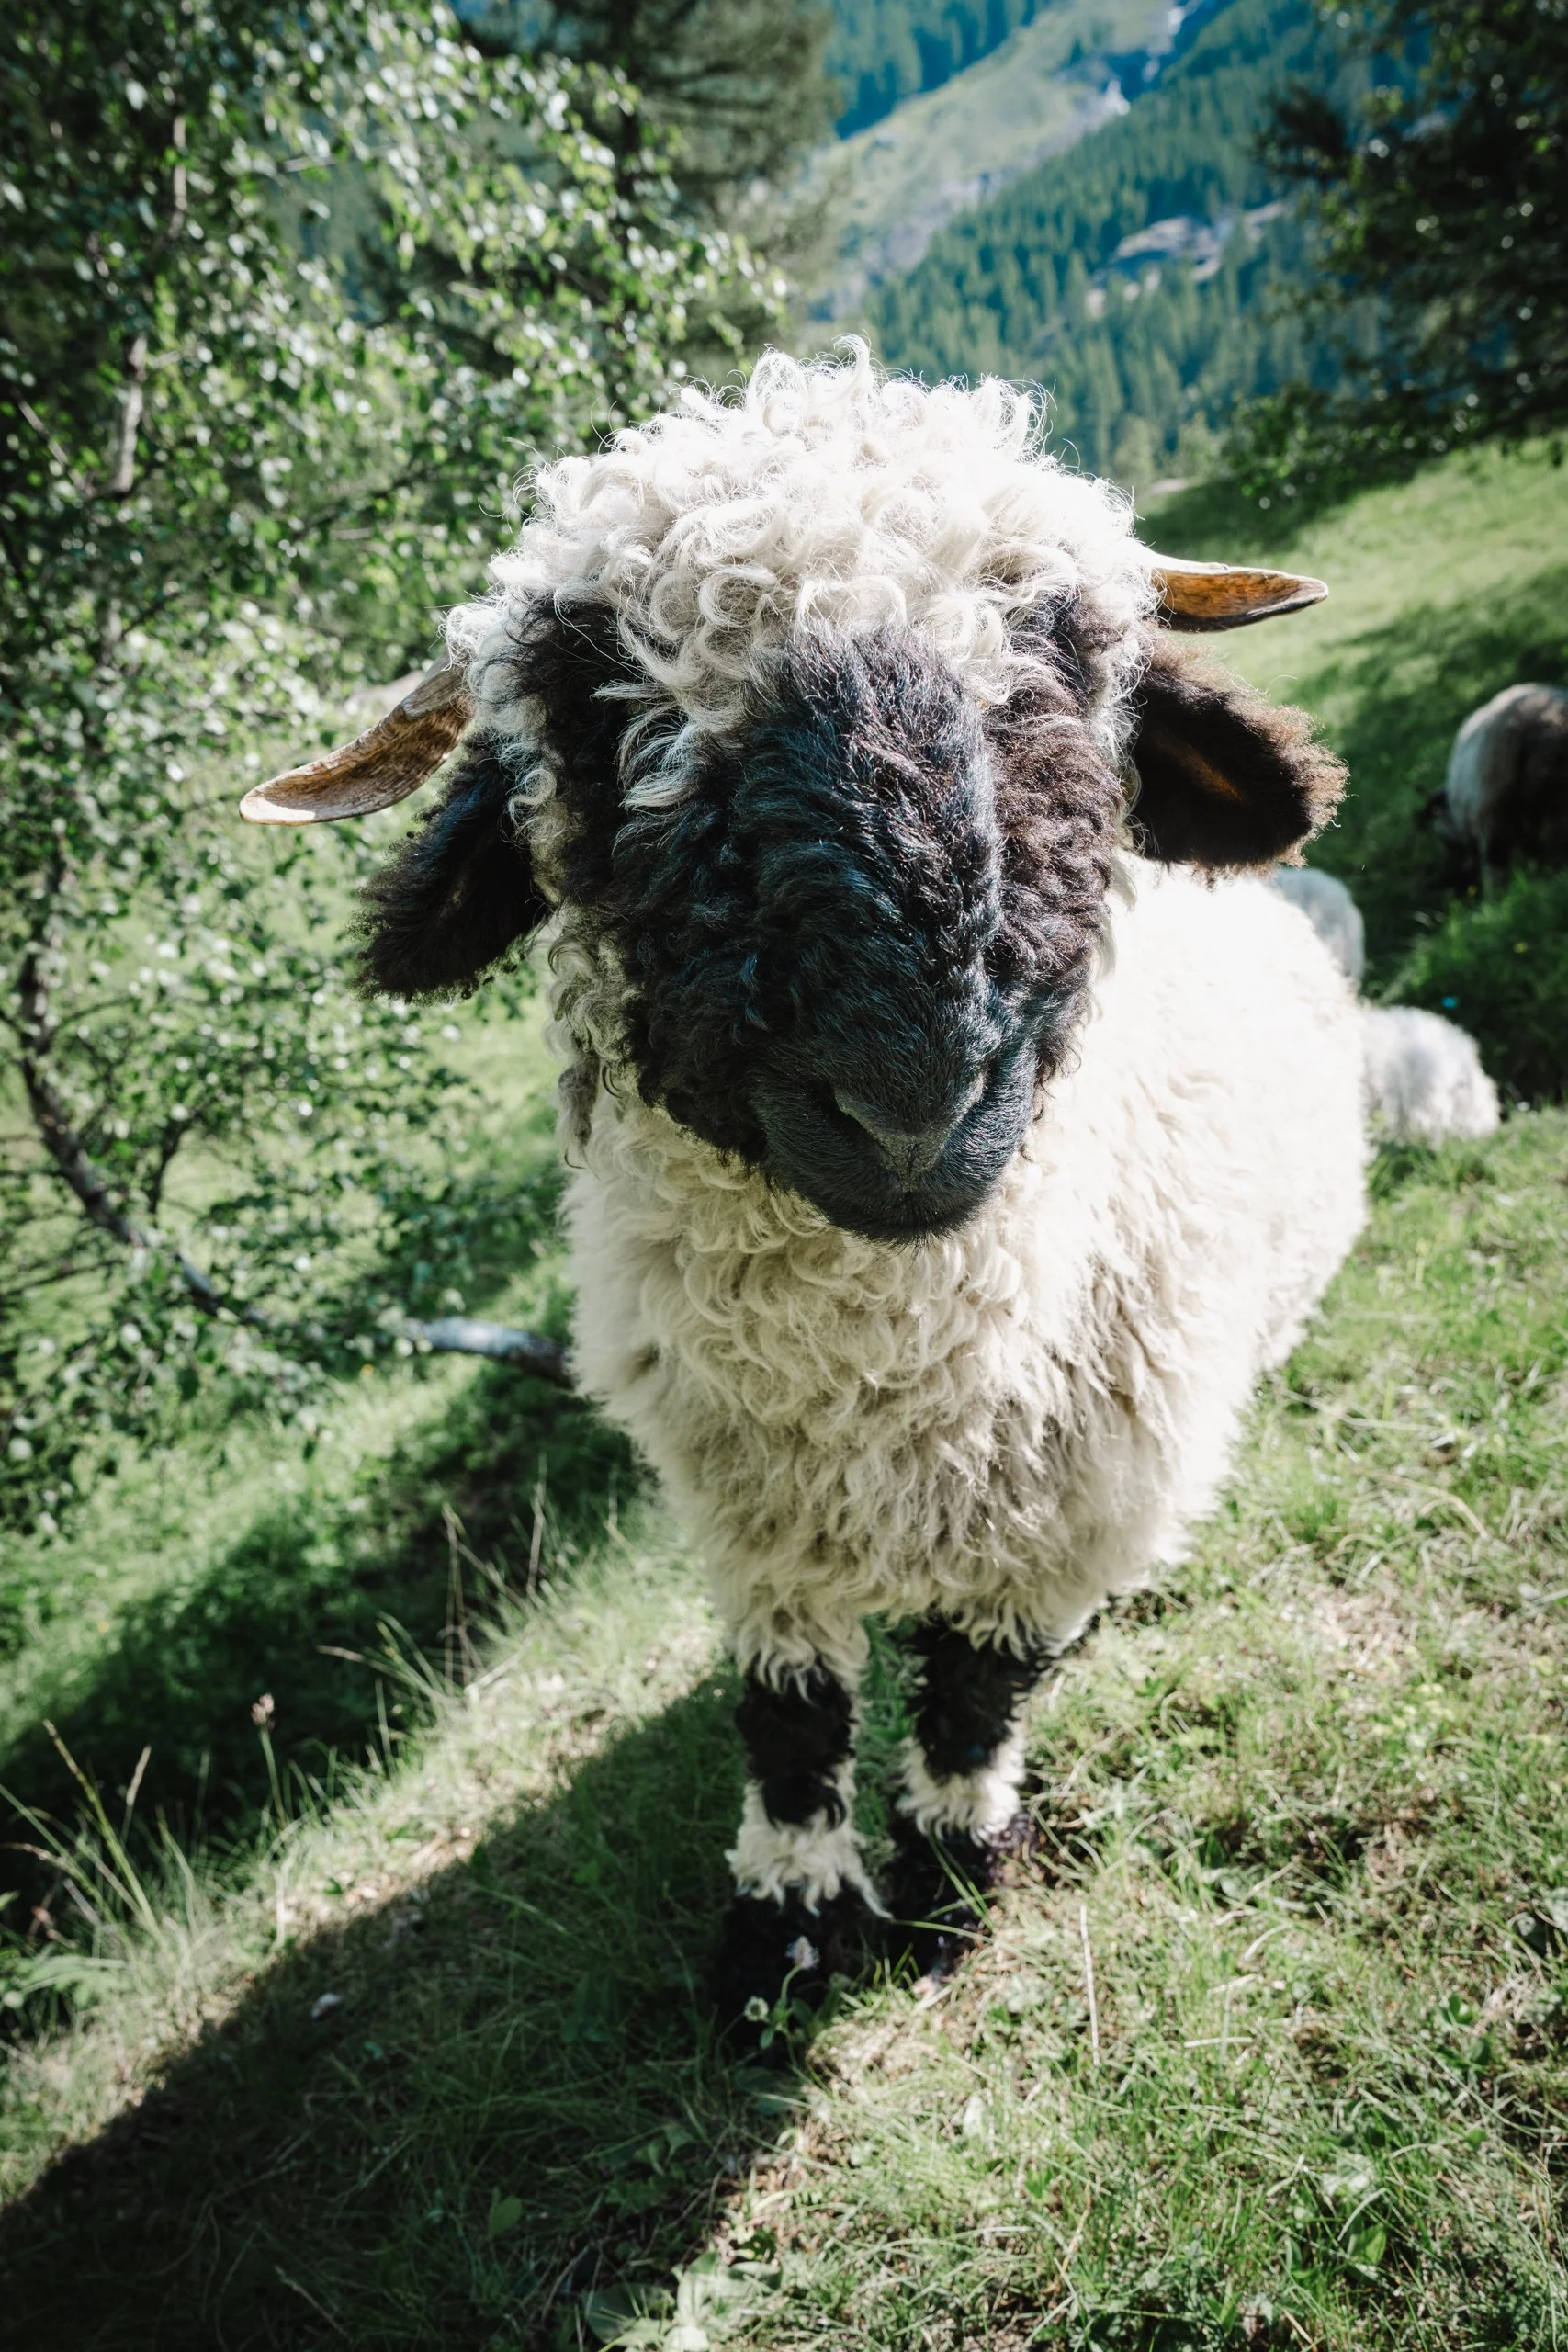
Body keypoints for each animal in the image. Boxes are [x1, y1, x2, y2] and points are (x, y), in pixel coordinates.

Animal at [243, 349, 1367, 2018]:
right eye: (597, 707)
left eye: (1067, 650)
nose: (910, 1097)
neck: (899, 1387)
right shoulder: (749, 1524)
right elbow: (788, 1720)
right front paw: (784, 1929)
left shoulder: (1074, 1507)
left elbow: (976, 1694)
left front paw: (950, 1869)